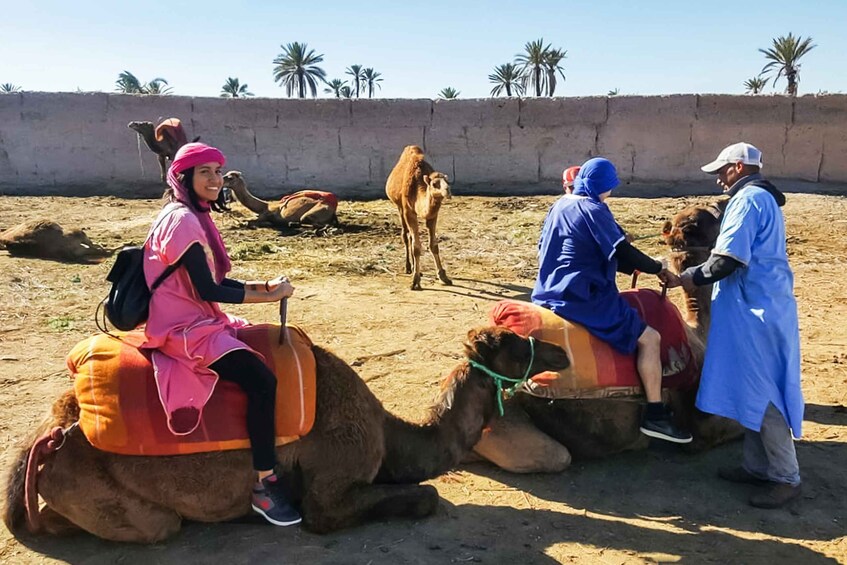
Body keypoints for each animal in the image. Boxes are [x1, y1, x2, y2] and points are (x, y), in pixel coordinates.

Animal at [3, 324, 568, 540]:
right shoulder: (332, 485)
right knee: (154, 524)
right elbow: (424, 497)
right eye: (515, 343)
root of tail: (45, 435)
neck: (389, 433)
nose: (560, 351)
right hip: (114, 501)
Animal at [388, 143, 454, 290]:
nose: (448, 191)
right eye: (435, 184)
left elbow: (433, 245)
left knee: (411, 237)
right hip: (400, 207)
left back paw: (414, 267)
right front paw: (415, 281)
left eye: (448, 182)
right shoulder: (408, 211)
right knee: (405, 235)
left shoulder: (433, 215)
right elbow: (416, 247)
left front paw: (443, 277)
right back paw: (408, 267)